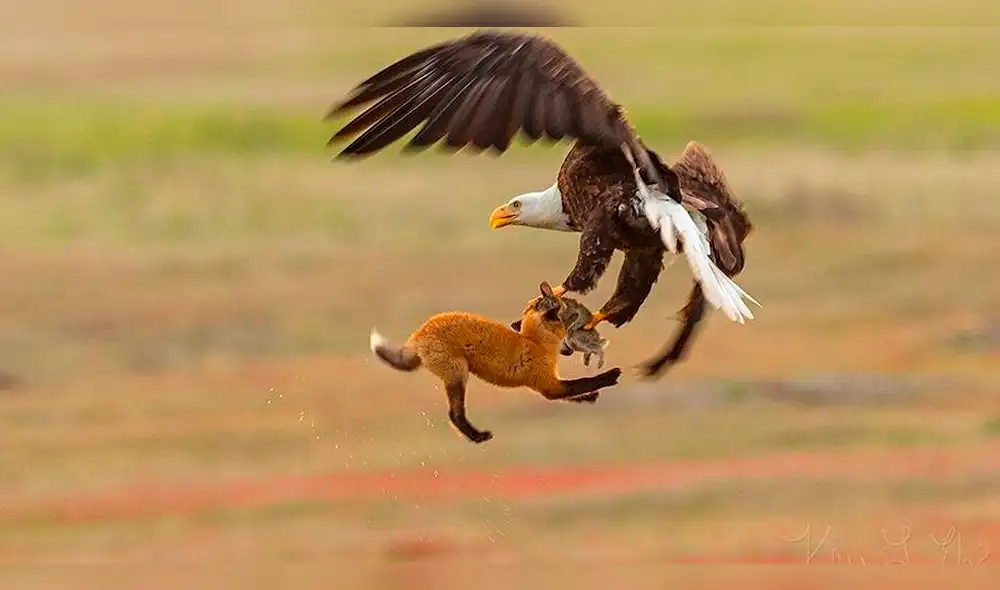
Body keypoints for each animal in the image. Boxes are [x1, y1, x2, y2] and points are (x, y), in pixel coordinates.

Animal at [369, 281, 623, 444]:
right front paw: (610, 376)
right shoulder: (547, 385)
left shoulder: (551, 384)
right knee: (454, 414)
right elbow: (582, 382)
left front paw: (590, 398)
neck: (534, 342)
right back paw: (477, 437)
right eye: (566, 313)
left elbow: (575, 392)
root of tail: (419, 333)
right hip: (458, 374)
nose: (570, 348)